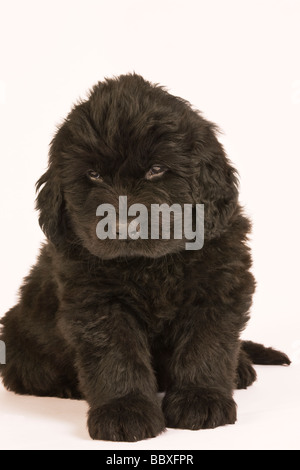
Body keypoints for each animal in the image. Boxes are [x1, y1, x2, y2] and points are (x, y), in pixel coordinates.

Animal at [0, 72, 290, 440]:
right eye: (93, 174)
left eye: (156, 169)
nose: (122, 225)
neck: (151, 265)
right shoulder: (96, 302)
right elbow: (116, 355)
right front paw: (125, 410)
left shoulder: (219, 285)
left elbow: (206, 345)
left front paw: (200, 399)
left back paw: (240, 368)